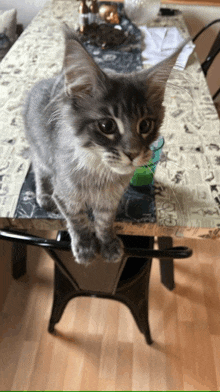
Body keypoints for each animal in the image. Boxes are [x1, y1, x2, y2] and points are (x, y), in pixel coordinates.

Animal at [24, 25, 185, 266]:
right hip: (41, 150)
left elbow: (103, 222)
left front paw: (108, 244)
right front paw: (85, 247)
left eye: (145, 125)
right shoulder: (66, 196)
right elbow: (79, 221)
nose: (133, 153)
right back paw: (43, 195)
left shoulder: (110, 201)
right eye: (107, 126)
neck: (100, 173)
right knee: (39, 170)